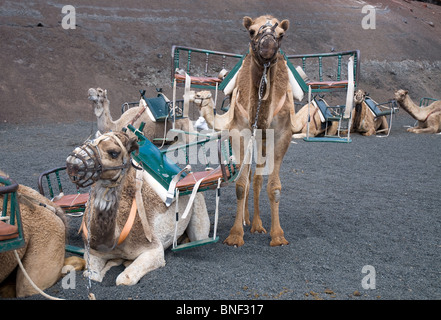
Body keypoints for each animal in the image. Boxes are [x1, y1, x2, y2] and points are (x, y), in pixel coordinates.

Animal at [65, 131, 210, 286]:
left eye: (113, 152)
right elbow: (91, 275)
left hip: (198, 203)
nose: (72, 161)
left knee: (200, 235)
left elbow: (123, 279)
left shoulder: (154, 248)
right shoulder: (93, 251)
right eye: (90, 141)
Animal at [220, 15, 292, 248]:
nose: (268, 45)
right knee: (251, 175)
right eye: (251, 31)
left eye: (281, 34)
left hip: (263, 141)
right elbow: (241, 184)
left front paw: (277, 235)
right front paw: (235, 234)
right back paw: (246, 219)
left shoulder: (282, 135)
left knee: (259, 178)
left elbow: (274, 186)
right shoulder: (239, 131)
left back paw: (258, 224)